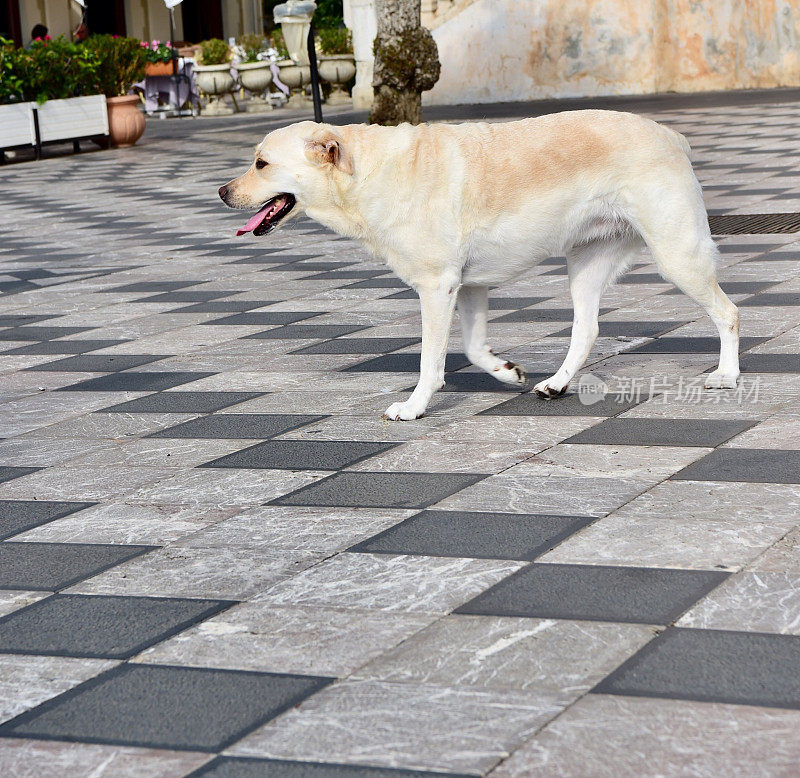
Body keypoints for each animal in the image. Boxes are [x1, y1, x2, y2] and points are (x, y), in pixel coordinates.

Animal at [217, 109, 736, 418]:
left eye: (261, 164)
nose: (221, 192)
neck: (368, 173)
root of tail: (671, 135)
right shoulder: (467, 287)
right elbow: (471, 348)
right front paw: (506, 371)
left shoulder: (436, 287)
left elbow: (431, 362)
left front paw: (414, 407)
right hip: (584, 268)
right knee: (587, 330)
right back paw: (556, 384)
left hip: (677, 257)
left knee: (727, 313)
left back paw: (727, 376)